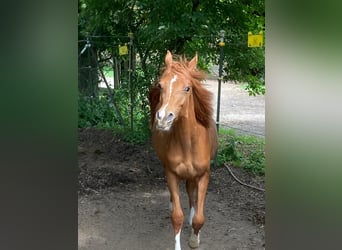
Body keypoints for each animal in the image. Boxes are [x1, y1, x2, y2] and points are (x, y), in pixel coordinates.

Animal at [148, 51, 218, 250]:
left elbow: (200, 217)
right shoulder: (171, 174)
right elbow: (177, 216)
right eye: (160, 85)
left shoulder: (203, 175)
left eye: (187, 88)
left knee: (191, 193)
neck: (188, 144)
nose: (163, 119)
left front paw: (195, 238)